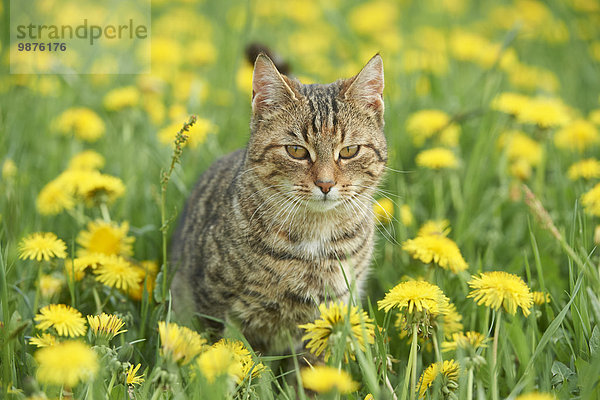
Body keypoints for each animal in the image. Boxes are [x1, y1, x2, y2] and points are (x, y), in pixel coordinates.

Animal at [171, 54, 386, 354]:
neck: (314, 238)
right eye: (296, 151)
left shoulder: (329, 311)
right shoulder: (211, 305)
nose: (325, 184)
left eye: (349, 151)